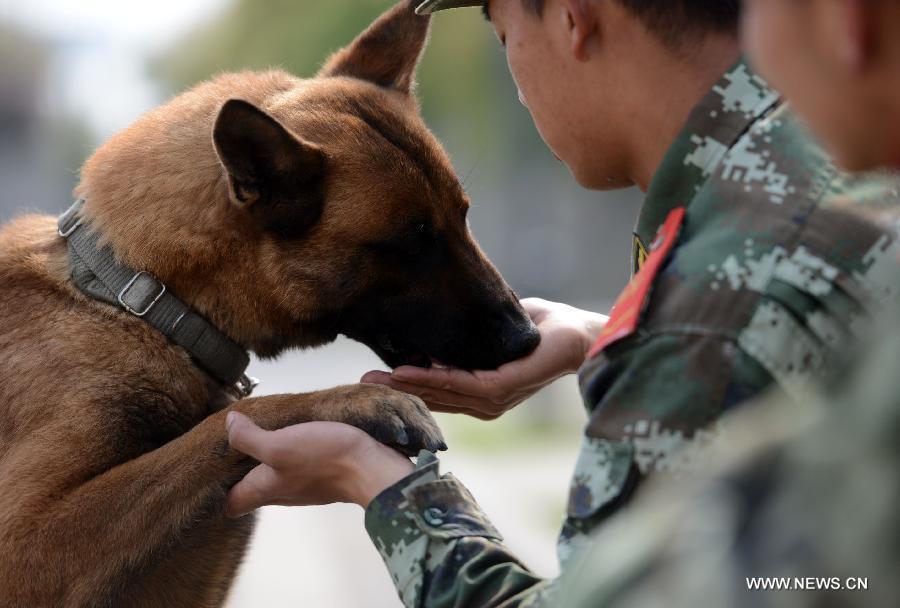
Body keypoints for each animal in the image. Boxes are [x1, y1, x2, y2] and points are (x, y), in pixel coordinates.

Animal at [0, 2, 536, 604]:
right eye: (413, 243)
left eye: (462, 217)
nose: (528, 337)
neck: (141, 302)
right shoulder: (26, 548)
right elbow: (231, 419)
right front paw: (353, 400)